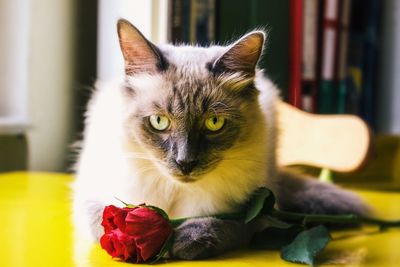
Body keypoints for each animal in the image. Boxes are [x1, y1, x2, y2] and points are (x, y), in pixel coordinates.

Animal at [72, 18, 368, 260]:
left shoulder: (254, 212)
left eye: (214, 123)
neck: (175, 193)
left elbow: (218, 224)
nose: (185, 163)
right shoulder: (92, 196)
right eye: (159, 122)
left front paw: (182, 242)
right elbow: (102, 224)